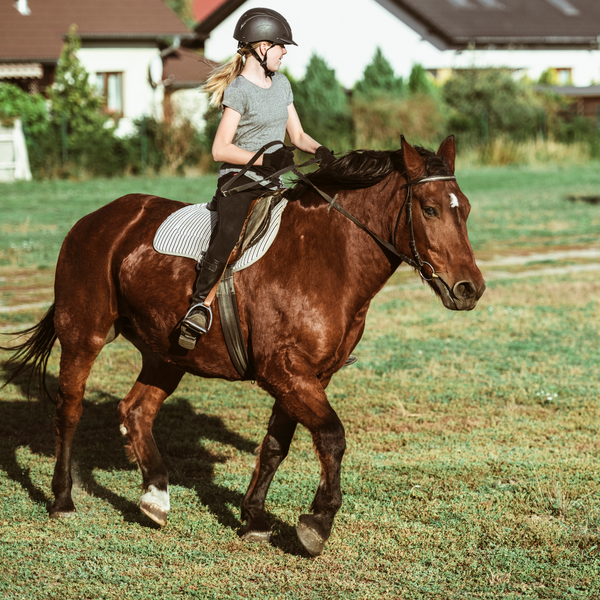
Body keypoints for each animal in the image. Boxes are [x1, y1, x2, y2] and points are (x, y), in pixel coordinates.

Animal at [2, 137, 482, 556]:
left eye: (466, 210)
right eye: (430, 209)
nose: (469, 289)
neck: (328, 257)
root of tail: (95, 219)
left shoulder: (307, 376)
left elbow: (274, 446)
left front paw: (253, 518)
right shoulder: (286, 372)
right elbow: (332, 436)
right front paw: (317, 522)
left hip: (166, 352)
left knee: (136, 410)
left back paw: (155, 496)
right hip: (84, 335)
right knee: (69, 409)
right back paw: (63, 499)